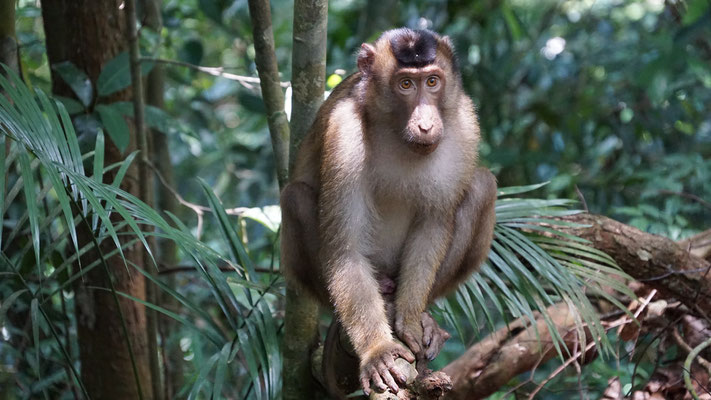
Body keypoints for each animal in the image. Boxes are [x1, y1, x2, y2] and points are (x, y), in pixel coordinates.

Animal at [280, 27, 498, 394]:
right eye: (406, 84)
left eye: (432, 82)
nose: (426, 124)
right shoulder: (344, 132)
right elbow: (345, 249)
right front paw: (378, 350)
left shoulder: (465, 125)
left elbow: (433, 225)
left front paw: (410, 319)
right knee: (294, 197)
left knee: (483, 185)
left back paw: (421, 313)